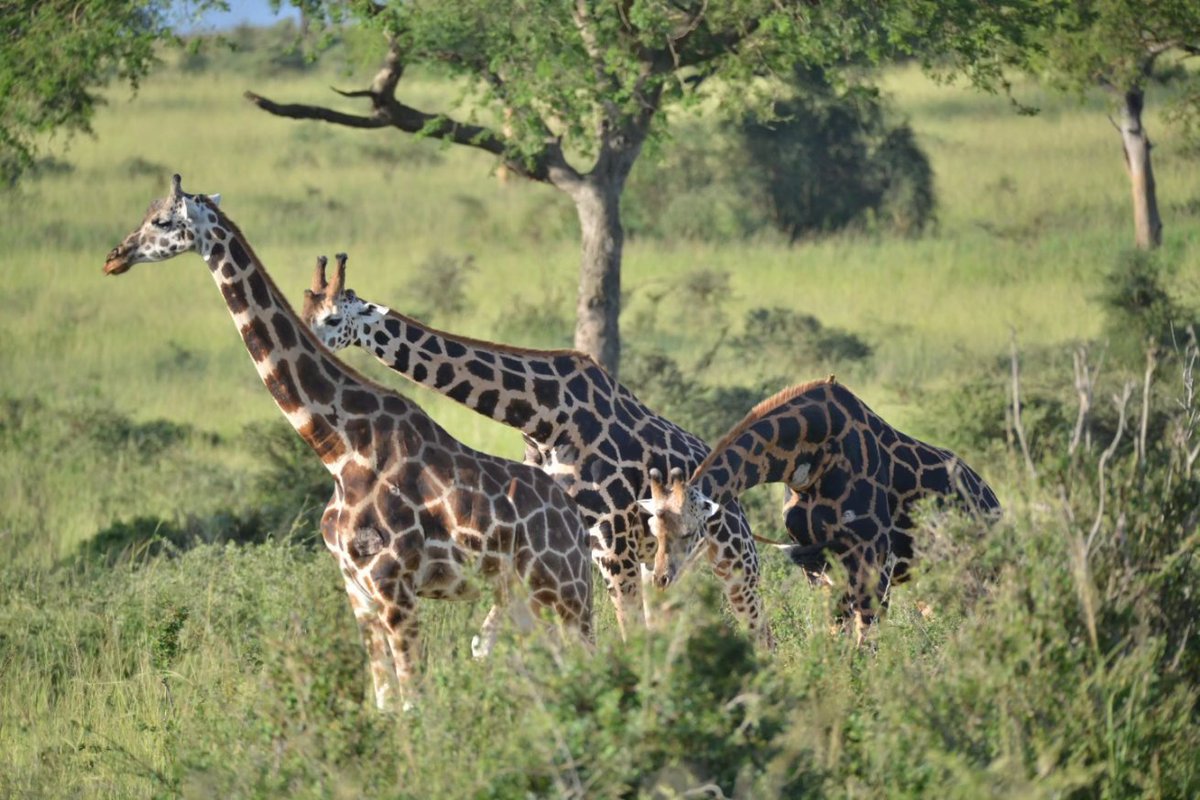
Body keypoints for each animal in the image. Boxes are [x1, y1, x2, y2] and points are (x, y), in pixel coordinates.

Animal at [102, 175, 593, 710]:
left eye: (161, 220)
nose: (114, 257)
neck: (338, 451)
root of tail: (575, 519)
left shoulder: (393, 587)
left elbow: (413, 704)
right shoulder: (357, 592)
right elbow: (384, 703)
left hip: (566, 589)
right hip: (521, 597)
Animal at [298, 252, 773, 646]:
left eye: (333, 319)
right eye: (306, 311)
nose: (304, 343)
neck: (542, 418)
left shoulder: (612, 544)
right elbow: (486, 643)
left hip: (733, 554)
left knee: (760, 629)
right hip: (665, 561)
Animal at [638, 376, 1000, 627]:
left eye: (689, 532)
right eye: (653, 530)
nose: (660, 579)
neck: (810, 456)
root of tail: (993, 500)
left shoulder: (874, 557)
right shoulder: (816, 564)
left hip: (979, 571)